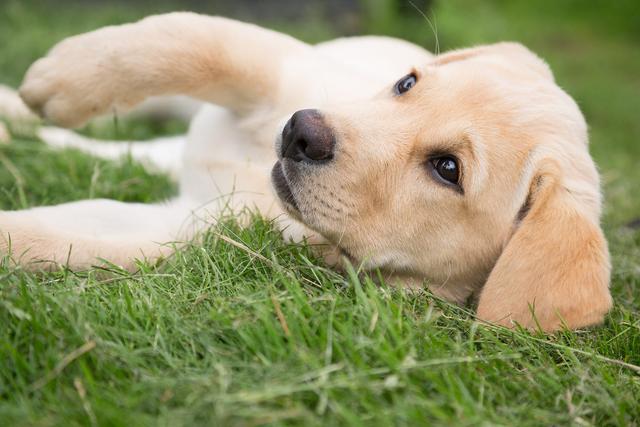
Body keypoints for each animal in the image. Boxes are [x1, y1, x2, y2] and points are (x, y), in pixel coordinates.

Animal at [0, 12, 612, 332]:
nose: (302, 133)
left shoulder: (194, 230)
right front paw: (64, 76)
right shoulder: (284, 67)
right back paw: (19, 109)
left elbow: (50, 237)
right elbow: (198, 39)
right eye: (406, 83)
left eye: (447, 169)